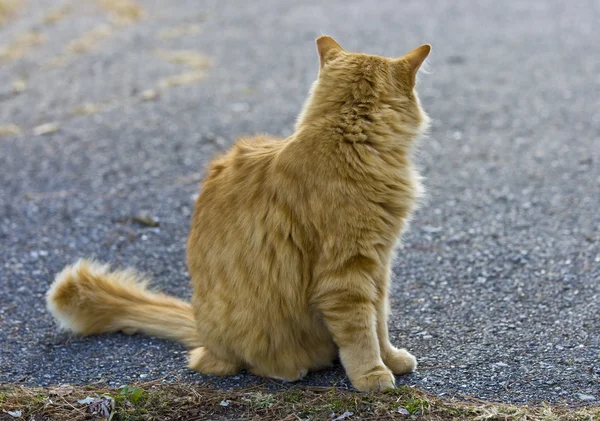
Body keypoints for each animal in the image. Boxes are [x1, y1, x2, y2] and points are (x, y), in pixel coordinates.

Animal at [47, 35, 432, 390]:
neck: (348, 137)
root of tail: (203, 333)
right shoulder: (346, 273)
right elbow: (361, 332)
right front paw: (372, 375)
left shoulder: (379, 264)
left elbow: (379, 321)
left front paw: (391, 359)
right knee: (225, 363)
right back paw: (289, 369)